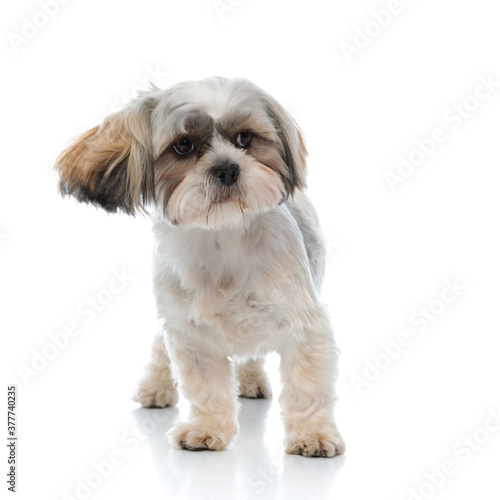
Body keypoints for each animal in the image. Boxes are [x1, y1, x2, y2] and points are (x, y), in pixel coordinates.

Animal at [54, 77, 344, 458]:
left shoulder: (303, 326)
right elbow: (207, 388)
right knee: (160, 349)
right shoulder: (190, 333)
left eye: (245, 138)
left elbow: (307, 388)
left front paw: (314, 435)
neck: (222, 236)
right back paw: (157, 385)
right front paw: (206, 429)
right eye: (183, 145)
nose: (227, 167)